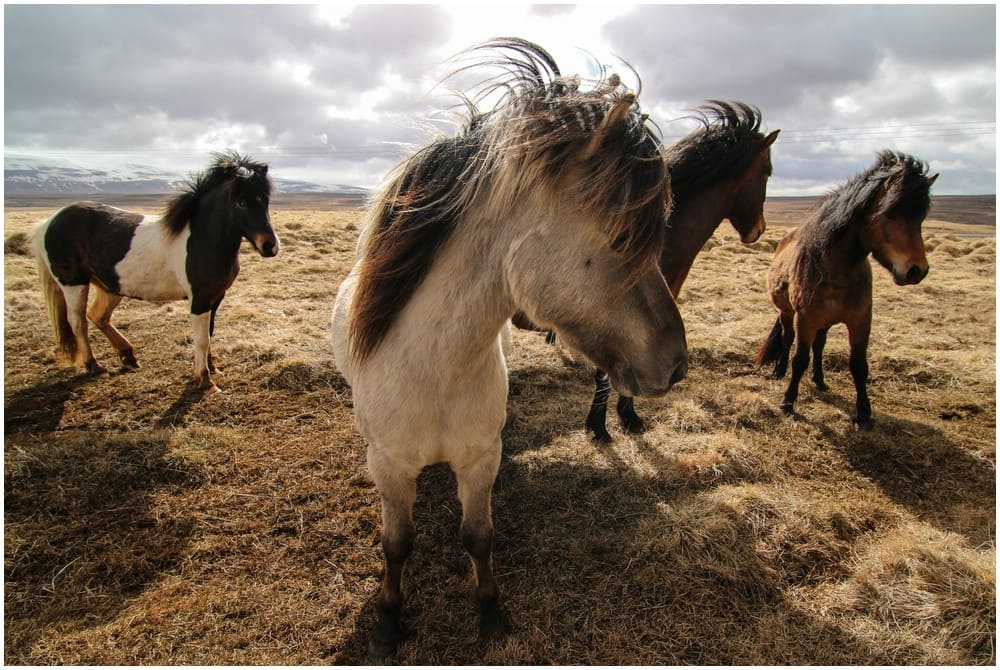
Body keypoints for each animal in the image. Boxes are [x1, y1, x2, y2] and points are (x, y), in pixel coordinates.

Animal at [31, 152, 280, 394]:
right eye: (241, 202)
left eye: (265, 200)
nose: (270, 246)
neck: (203, 239)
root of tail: (50, 221)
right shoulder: (199, 299)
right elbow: (201, 339)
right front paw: (205, 380)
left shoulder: (216, 297)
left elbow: (209, 333)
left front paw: (212, 368)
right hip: (73, 283)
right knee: (78, 322)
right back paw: (94, 365)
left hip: (110, 285)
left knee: (98, 316)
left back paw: (129, 356)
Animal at [328, 38, 688, 660]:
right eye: (622, 237)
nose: (677, 364)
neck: (435, 370)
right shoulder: (390, 467)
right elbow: (396, 543)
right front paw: (388, 622)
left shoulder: (480, 461)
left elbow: (479, 536)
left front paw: (491, 613)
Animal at [756, 150, 936, 428]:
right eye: (890, 214)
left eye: (921, 217)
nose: (917, 270)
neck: (838, 271)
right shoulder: (805, 320)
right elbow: (799, 359)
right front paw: (788, 401)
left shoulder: (861, 321)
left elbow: (859, 365)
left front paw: (864, 413)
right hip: (788, 314)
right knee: (787, 339)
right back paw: (779, 370)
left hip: (825, 322)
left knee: (819, 346)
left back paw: (819, 380)